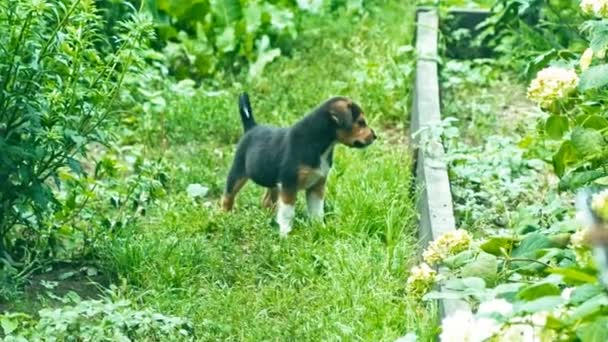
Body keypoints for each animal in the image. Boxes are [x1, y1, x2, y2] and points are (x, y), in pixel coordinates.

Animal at [223, 92, 376, 236]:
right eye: (361, 122)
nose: (375, 136)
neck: (320, 144)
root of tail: (251, 127)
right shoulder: (289, 185)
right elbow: (287, 213)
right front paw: (285, 233)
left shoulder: (317, 185)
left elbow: (316, 211)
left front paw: (319, 228)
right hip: (237, 173)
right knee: (227, 197)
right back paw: (225, 217)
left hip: (274, 184)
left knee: (266, 200)